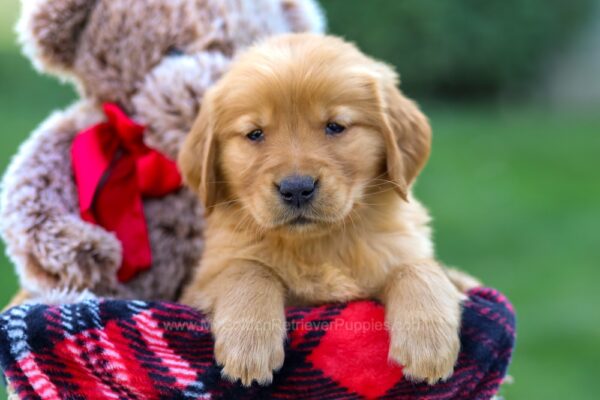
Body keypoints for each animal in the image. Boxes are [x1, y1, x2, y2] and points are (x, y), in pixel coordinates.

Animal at [178, 34, 478, 388]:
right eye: (255, 134)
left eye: (335, 127)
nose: (296, 188)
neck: (319, 244)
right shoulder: (200, 284)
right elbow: (248, 267)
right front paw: (249, 342)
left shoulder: (399, 250)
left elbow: (419, 268)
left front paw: (428, 341)